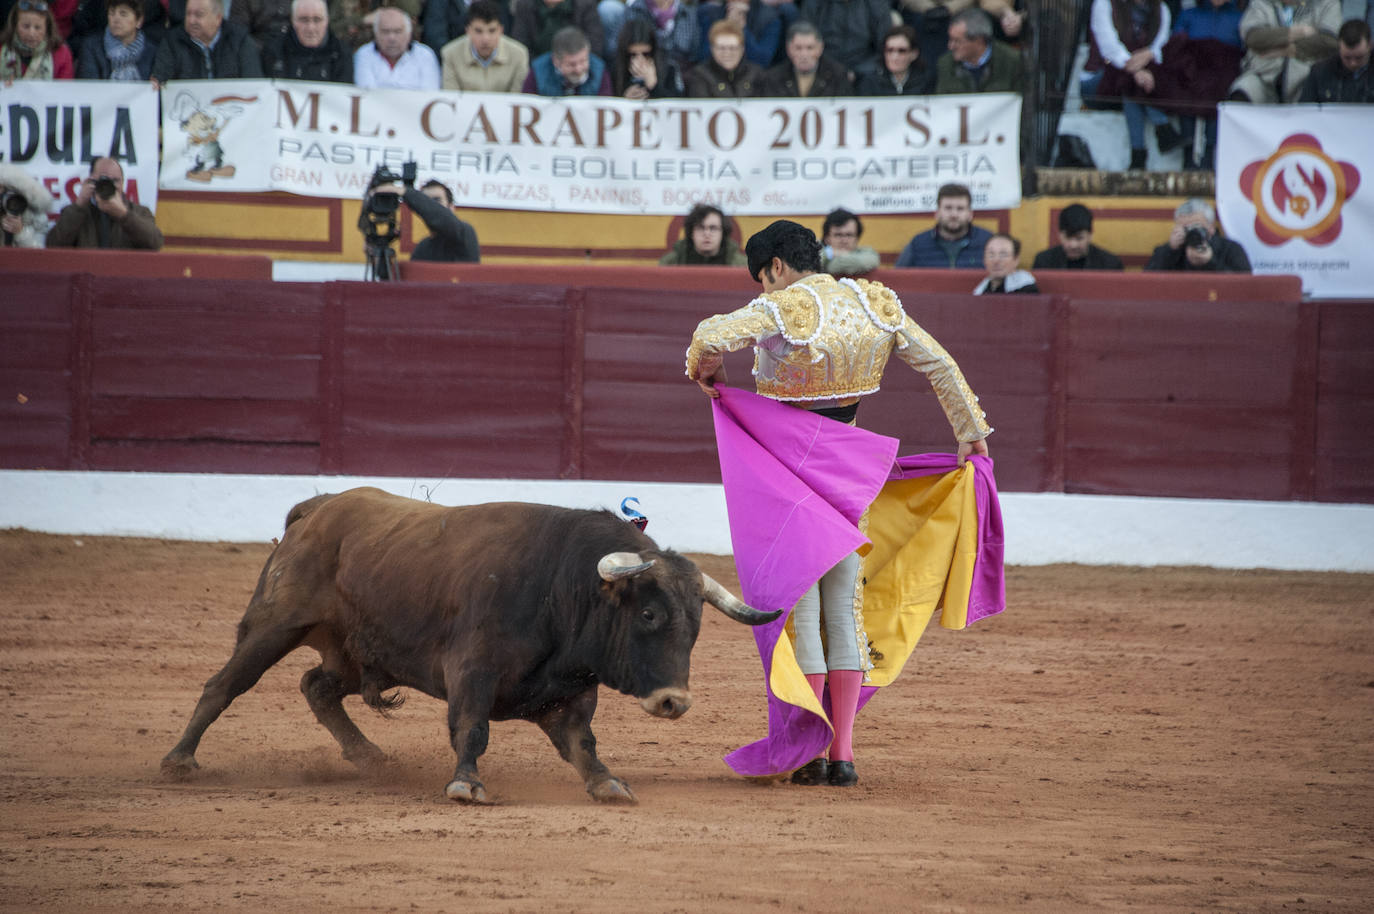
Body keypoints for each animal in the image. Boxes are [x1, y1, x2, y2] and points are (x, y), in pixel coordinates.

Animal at [160, 489, 774, 802]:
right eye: (648, 614)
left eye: (696, 625)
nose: (674, 702)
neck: (560, 585)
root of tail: (318, 508)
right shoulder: (472, 671)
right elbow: (471, 727)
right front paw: (466, 783)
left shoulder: (573, 688)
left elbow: (582, 741)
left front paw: (607, 782)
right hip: (275, 624)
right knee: (224, 684)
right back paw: (179, 760)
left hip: (362, 650)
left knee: (317, 687)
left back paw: (370, 757)